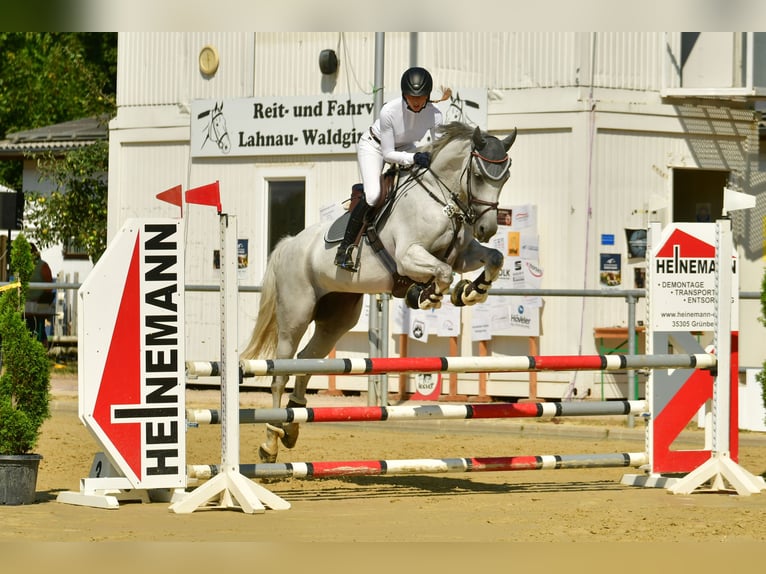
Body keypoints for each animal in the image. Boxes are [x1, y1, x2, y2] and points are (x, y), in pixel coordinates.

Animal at [243, 122, 520, 464]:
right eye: (479, 176)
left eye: (505, 176)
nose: (487, 229)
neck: (440, 198)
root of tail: (289, 244)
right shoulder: (408, 256)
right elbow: (442, 273)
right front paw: (423, 294)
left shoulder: (463, 254)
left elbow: (493, 258)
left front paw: (470, 291)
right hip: (295, 315)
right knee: (281, 372)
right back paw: (271, 441)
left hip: (336, 318)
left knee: (308, 361)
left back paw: (292, 426)